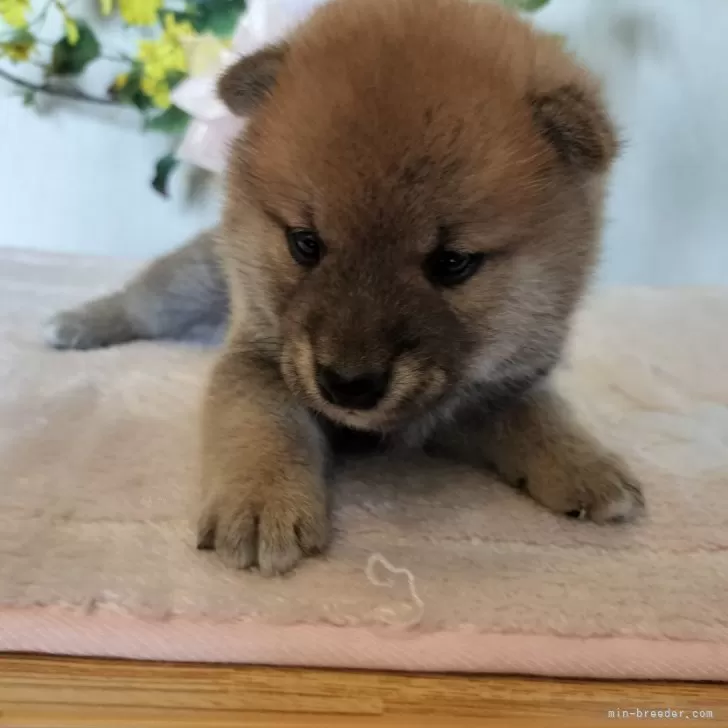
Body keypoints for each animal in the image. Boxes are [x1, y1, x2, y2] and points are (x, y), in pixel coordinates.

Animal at [45, 0, 644, 576]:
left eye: (452, 263)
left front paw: (587, 466)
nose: (347, 385)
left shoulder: (489, 392)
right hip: (190, 283)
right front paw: (262, 501)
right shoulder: (259, 361)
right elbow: (262, 424)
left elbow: (539, 415)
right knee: (143, 300)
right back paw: (76, 323)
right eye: (305, 243)